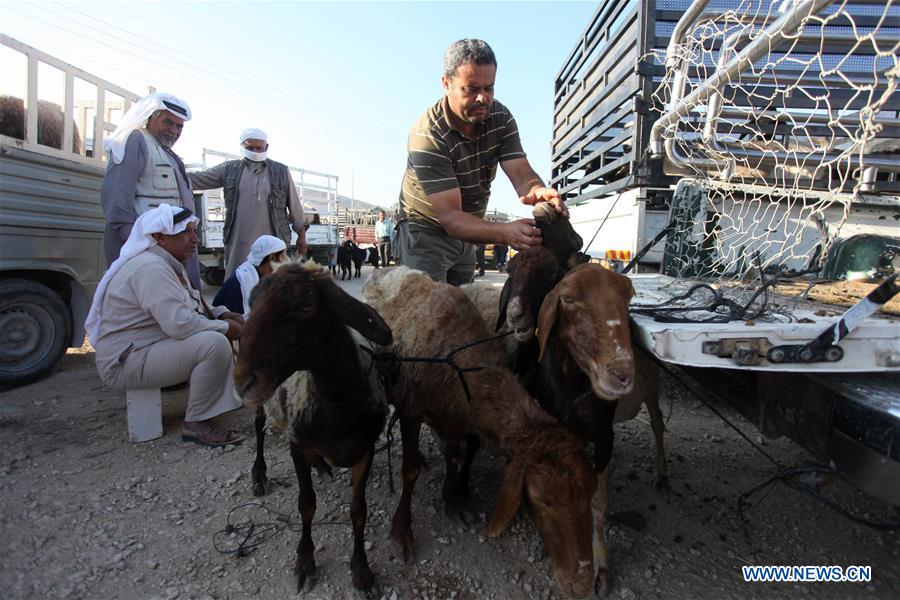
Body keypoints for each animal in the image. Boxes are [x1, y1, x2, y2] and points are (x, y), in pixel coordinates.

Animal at [232, 262, 390, 596]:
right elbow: (306, 505)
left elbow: (359, 510)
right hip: (266, 405)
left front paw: (362, 571)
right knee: (259, 428)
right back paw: (259, 475)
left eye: (305, 306)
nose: (242, 382)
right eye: (252, 302)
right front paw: (305, 563)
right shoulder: (298, 446)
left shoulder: (365, 450)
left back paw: (321, 465)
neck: (338, 402)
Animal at [362, 268, 600, 600]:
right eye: (540, 500)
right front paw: (401, 535)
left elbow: (453, 459)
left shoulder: (453, 419)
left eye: (590, 493)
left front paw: (453, 504)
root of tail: (385, 269)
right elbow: (409, 472)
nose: (582, 583)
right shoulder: (411, 410)